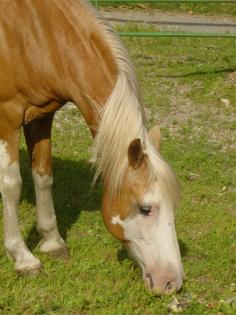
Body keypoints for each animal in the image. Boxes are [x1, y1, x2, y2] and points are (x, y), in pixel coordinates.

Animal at [0, 0, 183, 296]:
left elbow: (43, 176)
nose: (172, 282)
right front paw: (23, 258)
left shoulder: (41, 115)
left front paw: (52, 242)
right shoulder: (8, 118)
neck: (35, 31)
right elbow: (12, 186)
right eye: (146, 209)